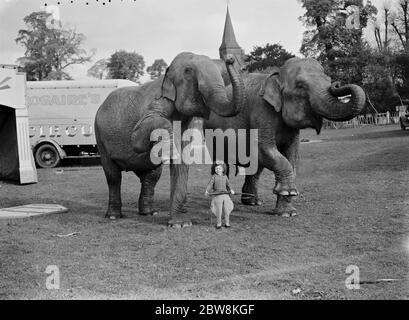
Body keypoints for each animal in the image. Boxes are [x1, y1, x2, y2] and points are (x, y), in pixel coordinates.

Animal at [93, 52, 244, 226]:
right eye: (188, 71)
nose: (230, 58)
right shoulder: (157, 102)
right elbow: (137, 139)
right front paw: (171, 149)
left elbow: (181, 163)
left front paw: (181, 224)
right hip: (100, 137)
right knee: (113, 175)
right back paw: (113, 216)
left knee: (151, 177)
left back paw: (149, 213)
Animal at [202, 57, 364, 216]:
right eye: (300, 86)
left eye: (329, 80)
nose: (337, 84)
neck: (277, 75)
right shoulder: (262, 111)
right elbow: (262, 149)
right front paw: (288, 194)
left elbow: (292, 154)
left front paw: (288, 213)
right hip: (211, 132)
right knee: (222, 163)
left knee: (256, 168)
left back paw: (253, 202)